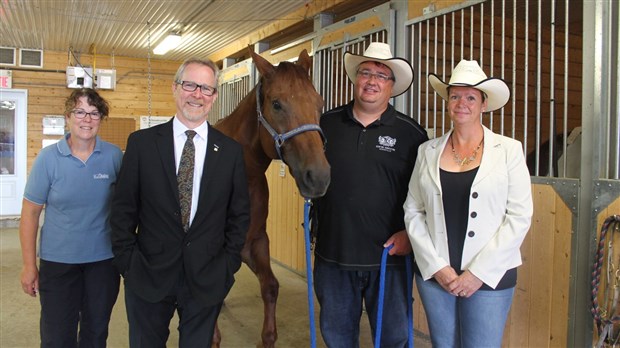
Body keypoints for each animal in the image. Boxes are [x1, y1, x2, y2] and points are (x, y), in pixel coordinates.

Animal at [212, 48, 330, 346]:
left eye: (319, 103)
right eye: (276, 104)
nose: (319, 176)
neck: (243, 175)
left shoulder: (255, 242)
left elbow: (271, 287)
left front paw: (267, 336)